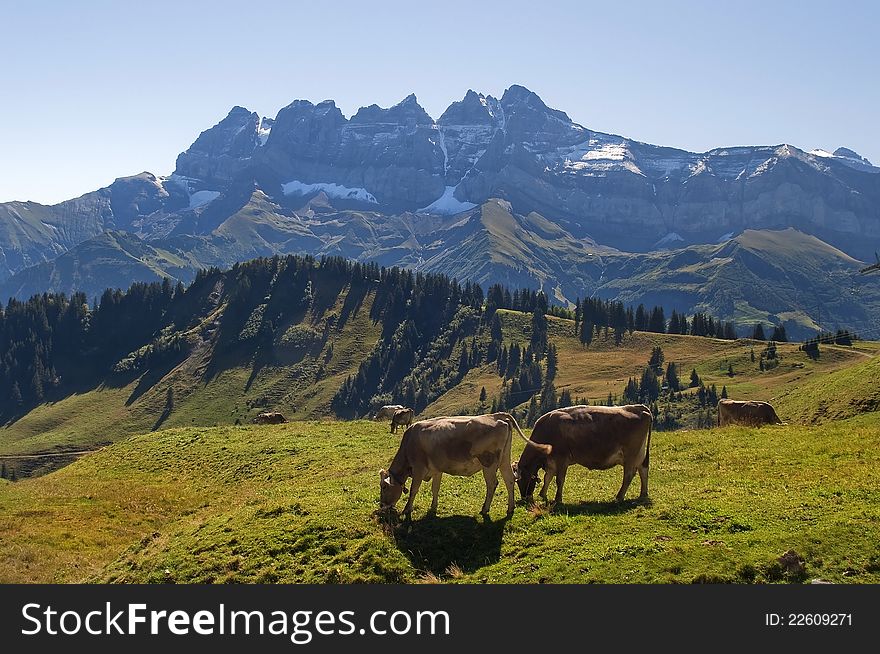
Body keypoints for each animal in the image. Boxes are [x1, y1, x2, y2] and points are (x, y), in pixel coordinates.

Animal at [378, 416, 552, 516]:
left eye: (384, 487)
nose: (382, 505)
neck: (409, 444)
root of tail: (498, 417)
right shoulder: (437, 470)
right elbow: (435, 488)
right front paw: (433, 507)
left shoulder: (419, 469)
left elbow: (414, 490)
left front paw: (407, 509)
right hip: (504, 460)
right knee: (509, 480)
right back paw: (510, 508)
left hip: (488, 462)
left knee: (492, 483)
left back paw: (485, 509)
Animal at [512, 404, 648, 508]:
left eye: (520, 480)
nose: (524, 498)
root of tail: (640, 408)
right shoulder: (551, 461)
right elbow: (547, 477)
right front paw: (543, 494)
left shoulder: (562, 459)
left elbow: (559, 480)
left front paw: (558, 499)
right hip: (640, 455)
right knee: (643, 470)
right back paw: (643, 494)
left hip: (631, 455)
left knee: (629, 475)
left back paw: (619, 497)